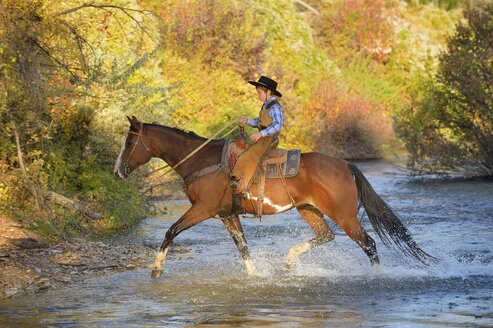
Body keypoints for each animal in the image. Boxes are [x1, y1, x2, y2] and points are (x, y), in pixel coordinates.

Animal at [114, 116, 434, 278]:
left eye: (129, 142)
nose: (117, 171)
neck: (202, 161)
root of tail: (346, 165)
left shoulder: (203, 209)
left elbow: (171, 231)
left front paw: (156, 269)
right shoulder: (227, 215)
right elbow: (243, 248)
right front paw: (255, 277)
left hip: (344, 215)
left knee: (368, 243)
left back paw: (378, 278)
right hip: (308, 209)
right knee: (326, 235)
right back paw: (289, 262)